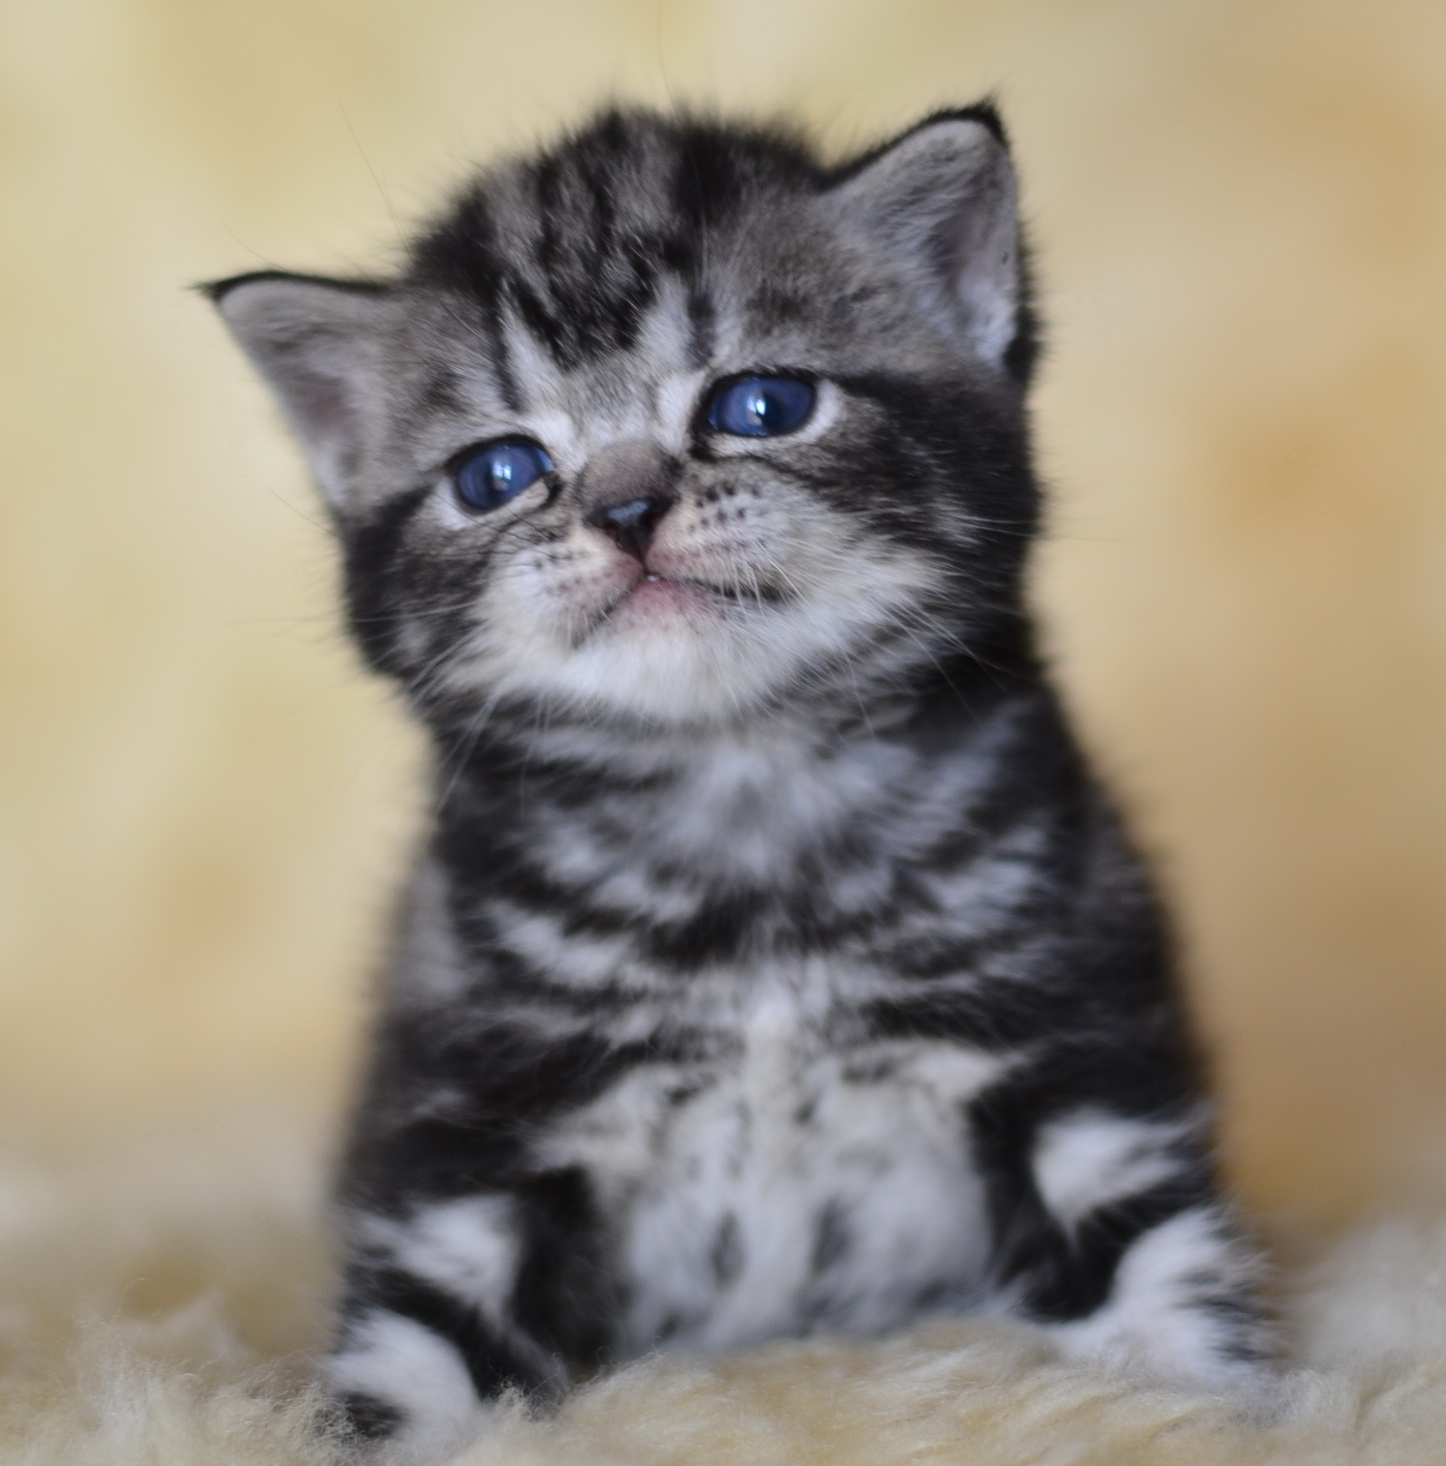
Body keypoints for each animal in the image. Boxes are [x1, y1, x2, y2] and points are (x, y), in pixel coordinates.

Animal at [210, 103, 1271, 1463]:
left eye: (763, 403)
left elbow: (1156, 1257)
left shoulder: (1076, 1037)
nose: (624, 508)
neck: (741, 783)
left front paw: (1205, 1406)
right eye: (498, 474)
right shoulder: (466, 1132)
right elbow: (414, 1346)